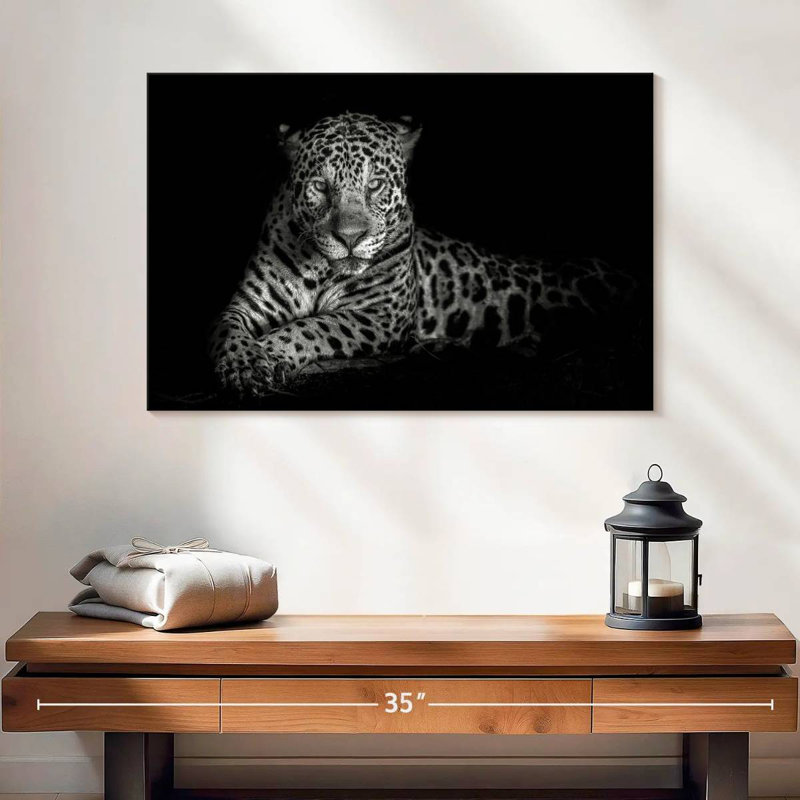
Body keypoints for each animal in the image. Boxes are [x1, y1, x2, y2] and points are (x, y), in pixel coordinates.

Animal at [209, 112, 632, 397]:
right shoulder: (246, 304)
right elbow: (227, 330)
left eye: (375, 185)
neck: (322, 268)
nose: (350, 238)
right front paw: (245, 364)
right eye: (320, 186)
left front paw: (269, 351)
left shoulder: (379, 316)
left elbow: (313, 326)